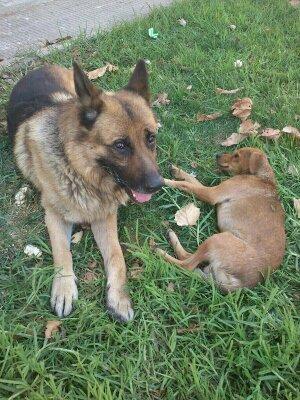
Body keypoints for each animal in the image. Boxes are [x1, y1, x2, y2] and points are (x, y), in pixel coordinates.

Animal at [7, 60, 162, 322]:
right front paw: (64, 290)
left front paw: (119, 298)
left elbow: (117, 257)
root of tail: (39, 68)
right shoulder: (54, 216)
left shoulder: (104, 217)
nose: (157, 184)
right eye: (120, 145)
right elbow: (62, 253)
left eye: (150, 138)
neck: (80, 170)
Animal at [157, 147, 286, 290]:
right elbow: (191, 180)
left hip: (216, 240)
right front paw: (176, 170)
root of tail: (241, 285)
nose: (217, 155)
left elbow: (185, 184)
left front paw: (166, 180)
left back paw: (161, 252)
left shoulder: (211, 194)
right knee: (191, 259)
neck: (261, 177)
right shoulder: (210, 190)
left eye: (236, 156)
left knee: (186, 264)